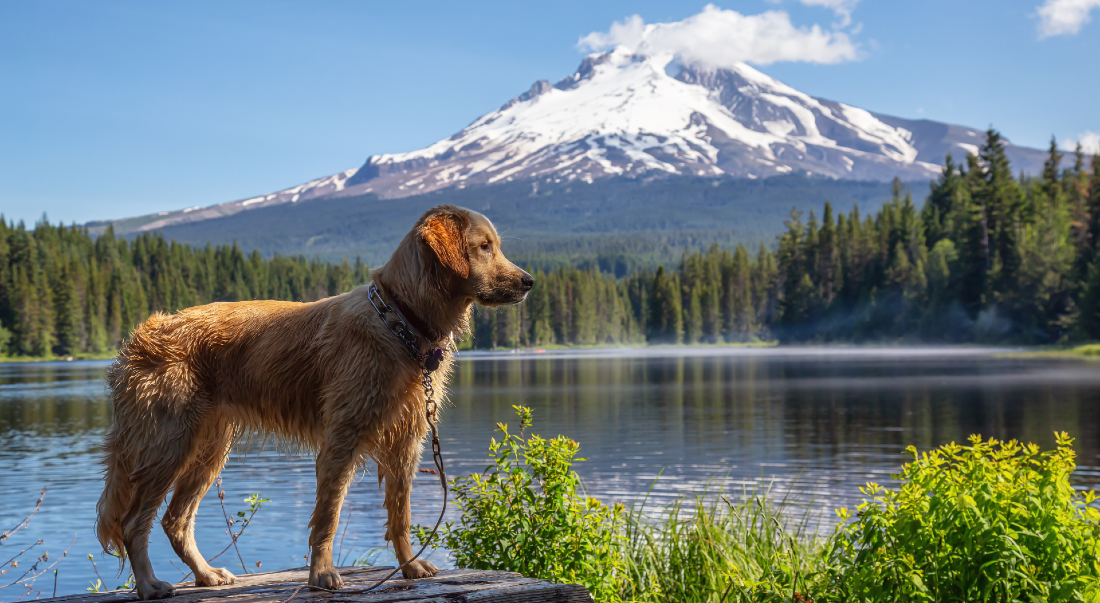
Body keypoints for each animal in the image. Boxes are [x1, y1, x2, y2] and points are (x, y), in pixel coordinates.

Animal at [96, 205, 534, 598]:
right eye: (484, 246)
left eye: (495, 246)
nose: (529, 281)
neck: (400, 322)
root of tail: (140, 337)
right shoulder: (343, 437)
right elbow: (328, 516)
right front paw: (322, 575)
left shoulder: (406, 441)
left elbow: (401, 515)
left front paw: (409, 566)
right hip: (168, 444)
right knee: (134, 522)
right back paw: (150, 585)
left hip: (208, 448)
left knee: (175, 521)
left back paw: (205, 574)